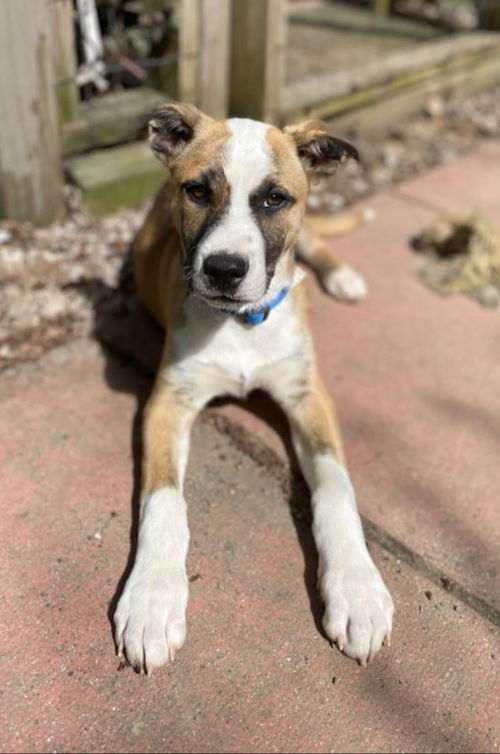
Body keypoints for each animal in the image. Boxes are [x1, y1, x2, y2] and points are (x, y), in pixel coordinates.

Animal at [114, 103, 394, 672]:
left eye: (274, 199)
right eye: (198, 191)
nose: (224, 269)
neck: (240, 324)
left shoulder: (309, 397)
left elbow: (336, 487)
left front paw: (357, 589)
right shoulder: (166, 403)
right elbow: (163, 500)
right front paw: (151, 598)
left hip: (306, 238)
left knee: (315, 242)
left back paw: (343, 278)